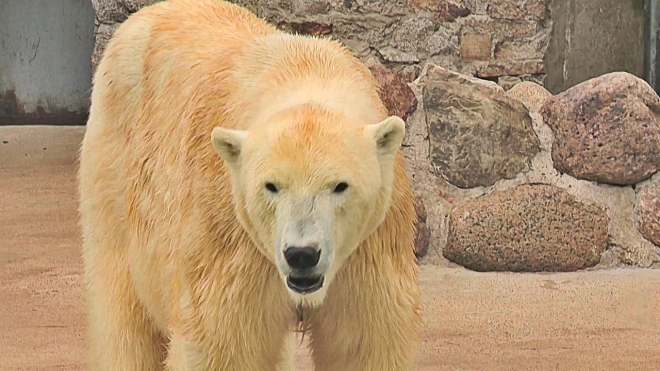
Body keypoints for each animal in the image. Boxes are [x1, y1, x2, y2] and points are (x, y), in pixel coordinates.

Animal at [77, 0, 418, 371]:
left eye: (340, 185)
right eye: (271, 186)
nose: (301, 254)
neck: (307, 71)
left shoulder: (371, 245)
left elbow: (363, 341)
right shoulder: (228, 232)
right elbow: (222, 343)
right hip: (116, 163)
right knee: (123, 306)